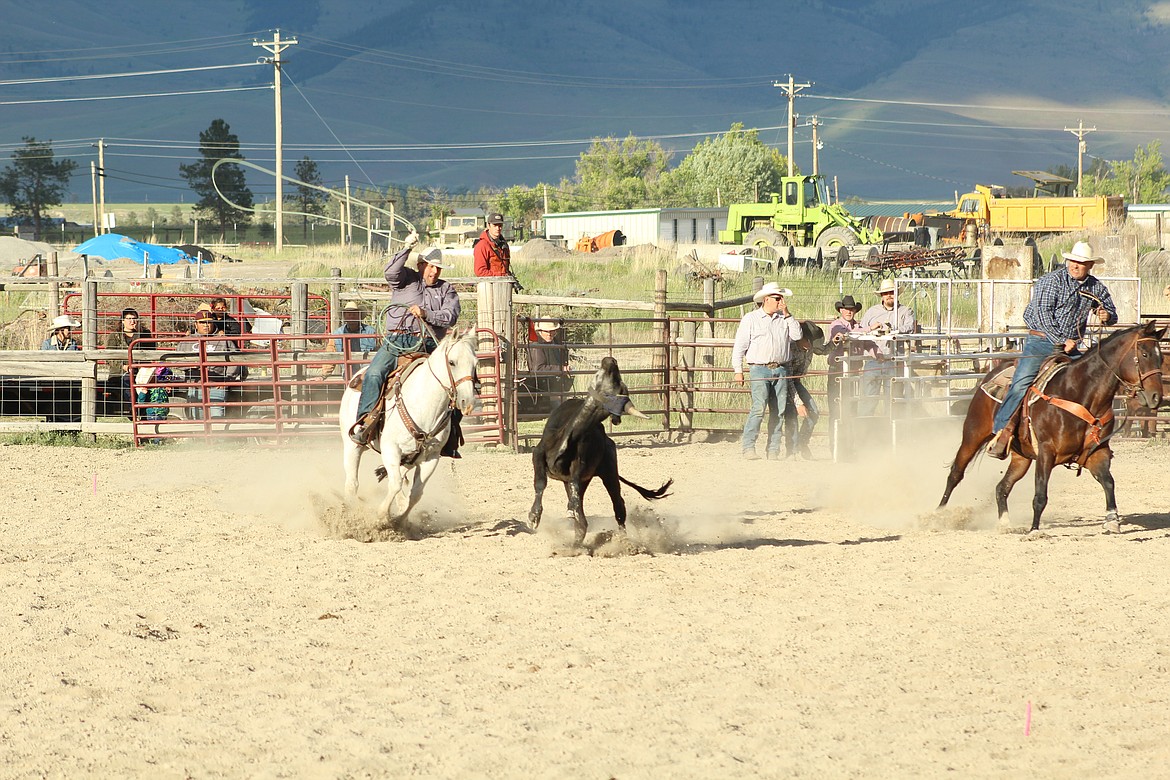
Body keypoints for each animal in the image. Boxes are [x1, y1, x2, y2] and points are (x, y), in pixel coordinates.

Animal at [339, 327, 479, 528]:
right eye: (452, 362)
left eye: (476, 364)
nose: (467, 402)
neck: (424, 404)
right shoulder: (391, 448)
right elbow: (396, 484)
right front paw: (382, 516)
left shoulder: (431, 457)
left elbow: (416, 494)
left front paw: (399, 519)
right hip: (352, 445)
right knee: (352, 484)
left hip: (409, 458)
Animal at [935, 320, 1165, 533]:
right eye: (1144, 354)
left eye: (1161, 358)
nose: (1156, 397)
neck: (1079, 393)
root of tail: (991, 373)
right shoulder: (1046, 451)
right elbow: (1040, 494)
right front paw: (1034, 530)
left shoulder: (1097, 452)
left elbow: (1108, 482)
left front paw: (1112, 520)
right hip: (973, 433)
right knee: (955, 473)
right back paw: (938, 515)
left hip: (1021, 456)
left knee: (1002, 486)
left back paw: (1005, 524)